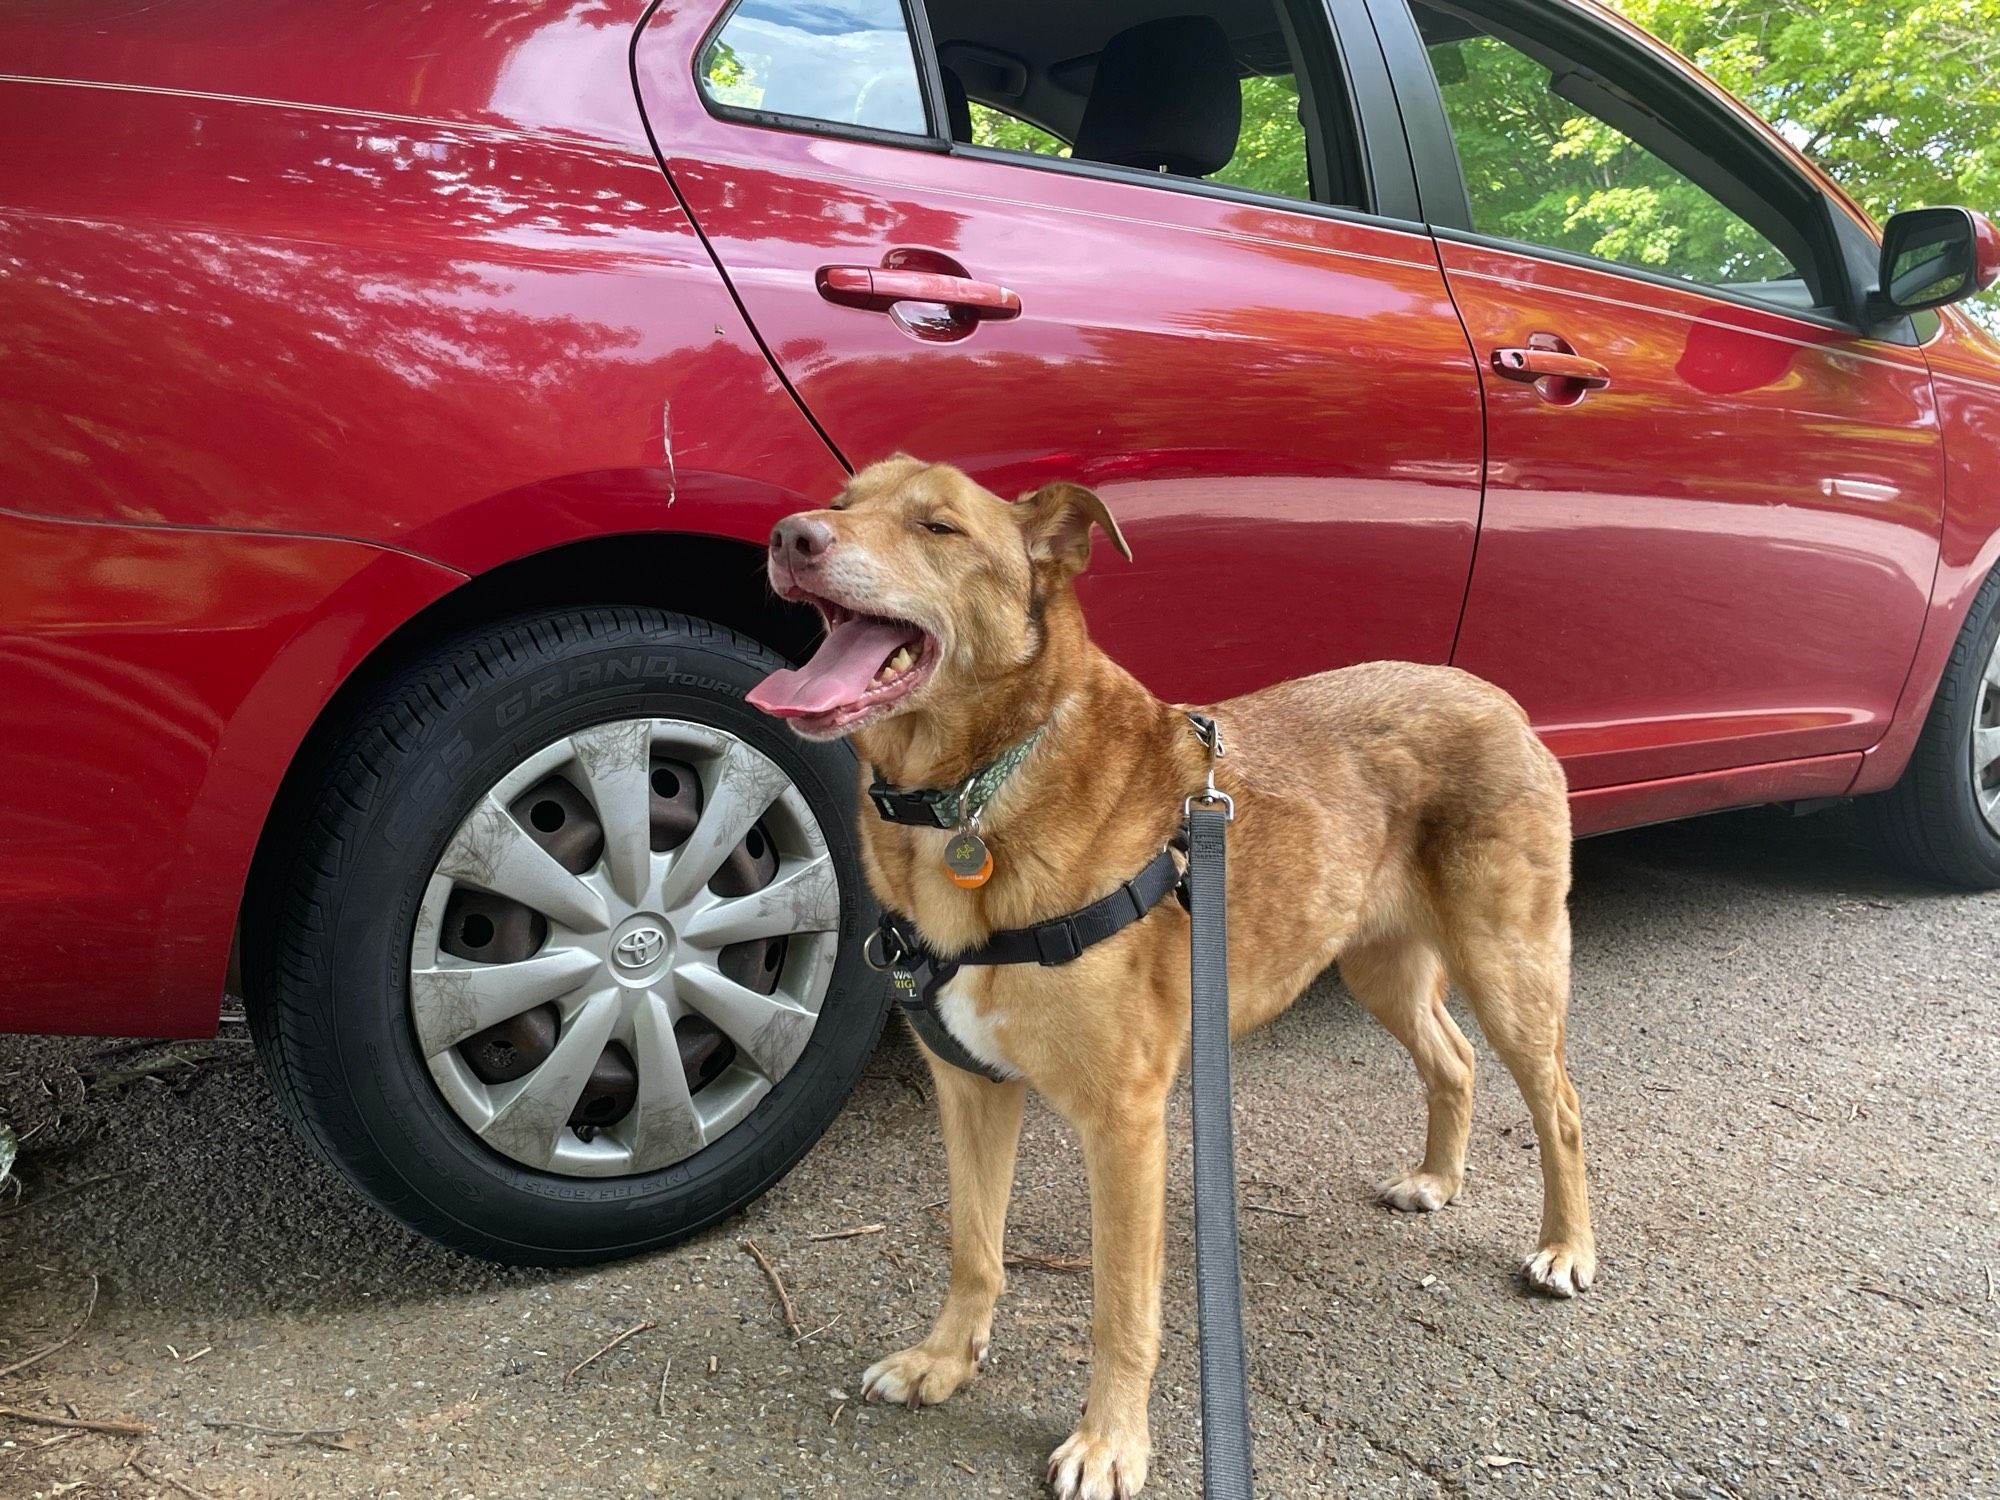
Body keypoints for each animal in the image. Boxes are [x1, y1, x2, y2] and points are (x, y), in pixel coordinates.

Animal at [752, 458, 1592, 1500]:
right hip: (1379, 967)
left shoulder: (1126, 1123)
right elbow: (974, 1248)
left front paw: (1112, 1441)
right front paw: (944, 1361)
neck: (980, 790)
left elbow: (1121, 1308)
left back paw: (1566, 1249)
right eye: (841, 499)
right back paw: (1437, 1179)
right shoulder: (972, 1089)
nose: (790, 537)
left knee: (1559, 1105)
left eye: (938, 526)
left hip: (1508, 966)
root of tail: (1495, 694)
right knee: (1455, 1063)